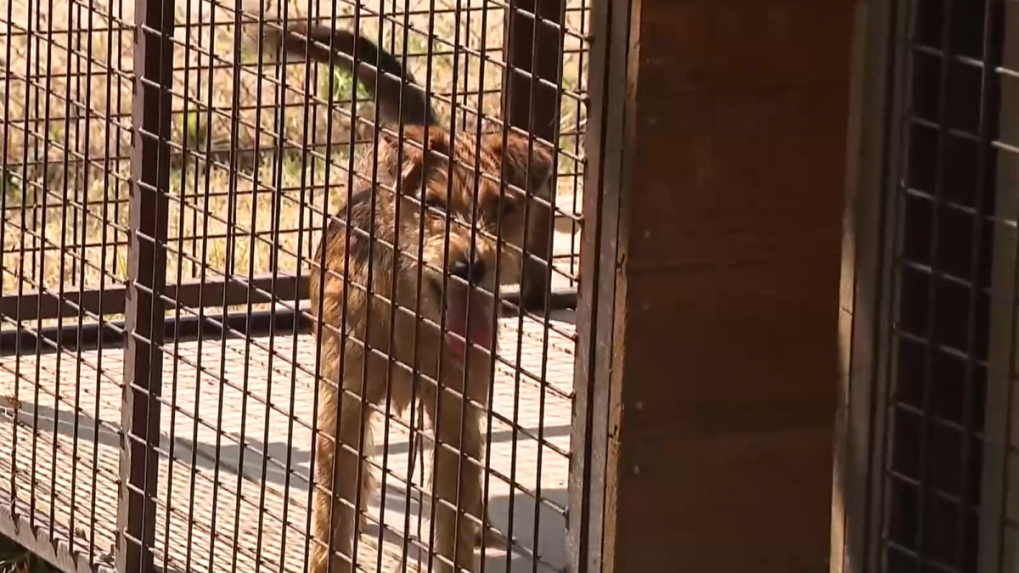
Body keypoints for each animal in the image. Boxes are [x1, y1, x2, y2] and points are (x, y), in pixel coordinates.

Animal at [262, 20, 550, 570]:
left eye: (501, 207)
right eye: (433, 204)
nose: (471, 265)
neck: (410, 314)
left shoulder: (456, 414)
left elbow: (452, 512)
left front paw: (459, 546)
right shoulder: (344, 405)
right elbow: (332, 513)